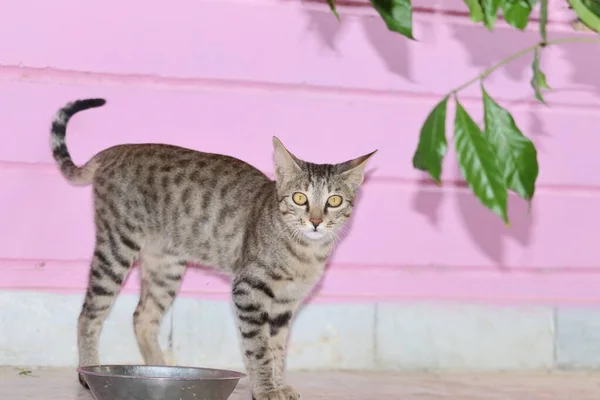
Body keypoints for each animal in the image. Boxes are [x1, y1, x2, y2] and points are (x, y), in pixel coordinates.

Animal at [50, 98, 376, 398]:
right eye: (299, 198)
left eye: (334, 200)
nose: (316, 221)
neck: (305, 251)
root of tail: (116, 150)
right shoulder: (249, 290)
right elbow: (259, 348)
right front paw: (265, 389)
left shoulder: (286, 303)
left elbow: (278, 348)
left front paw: (278, 384)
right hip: (116, 247)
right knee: (89, 313)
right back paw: (88, 371)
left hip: (165, 265)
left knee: (142, 317)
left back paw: (159, 372)